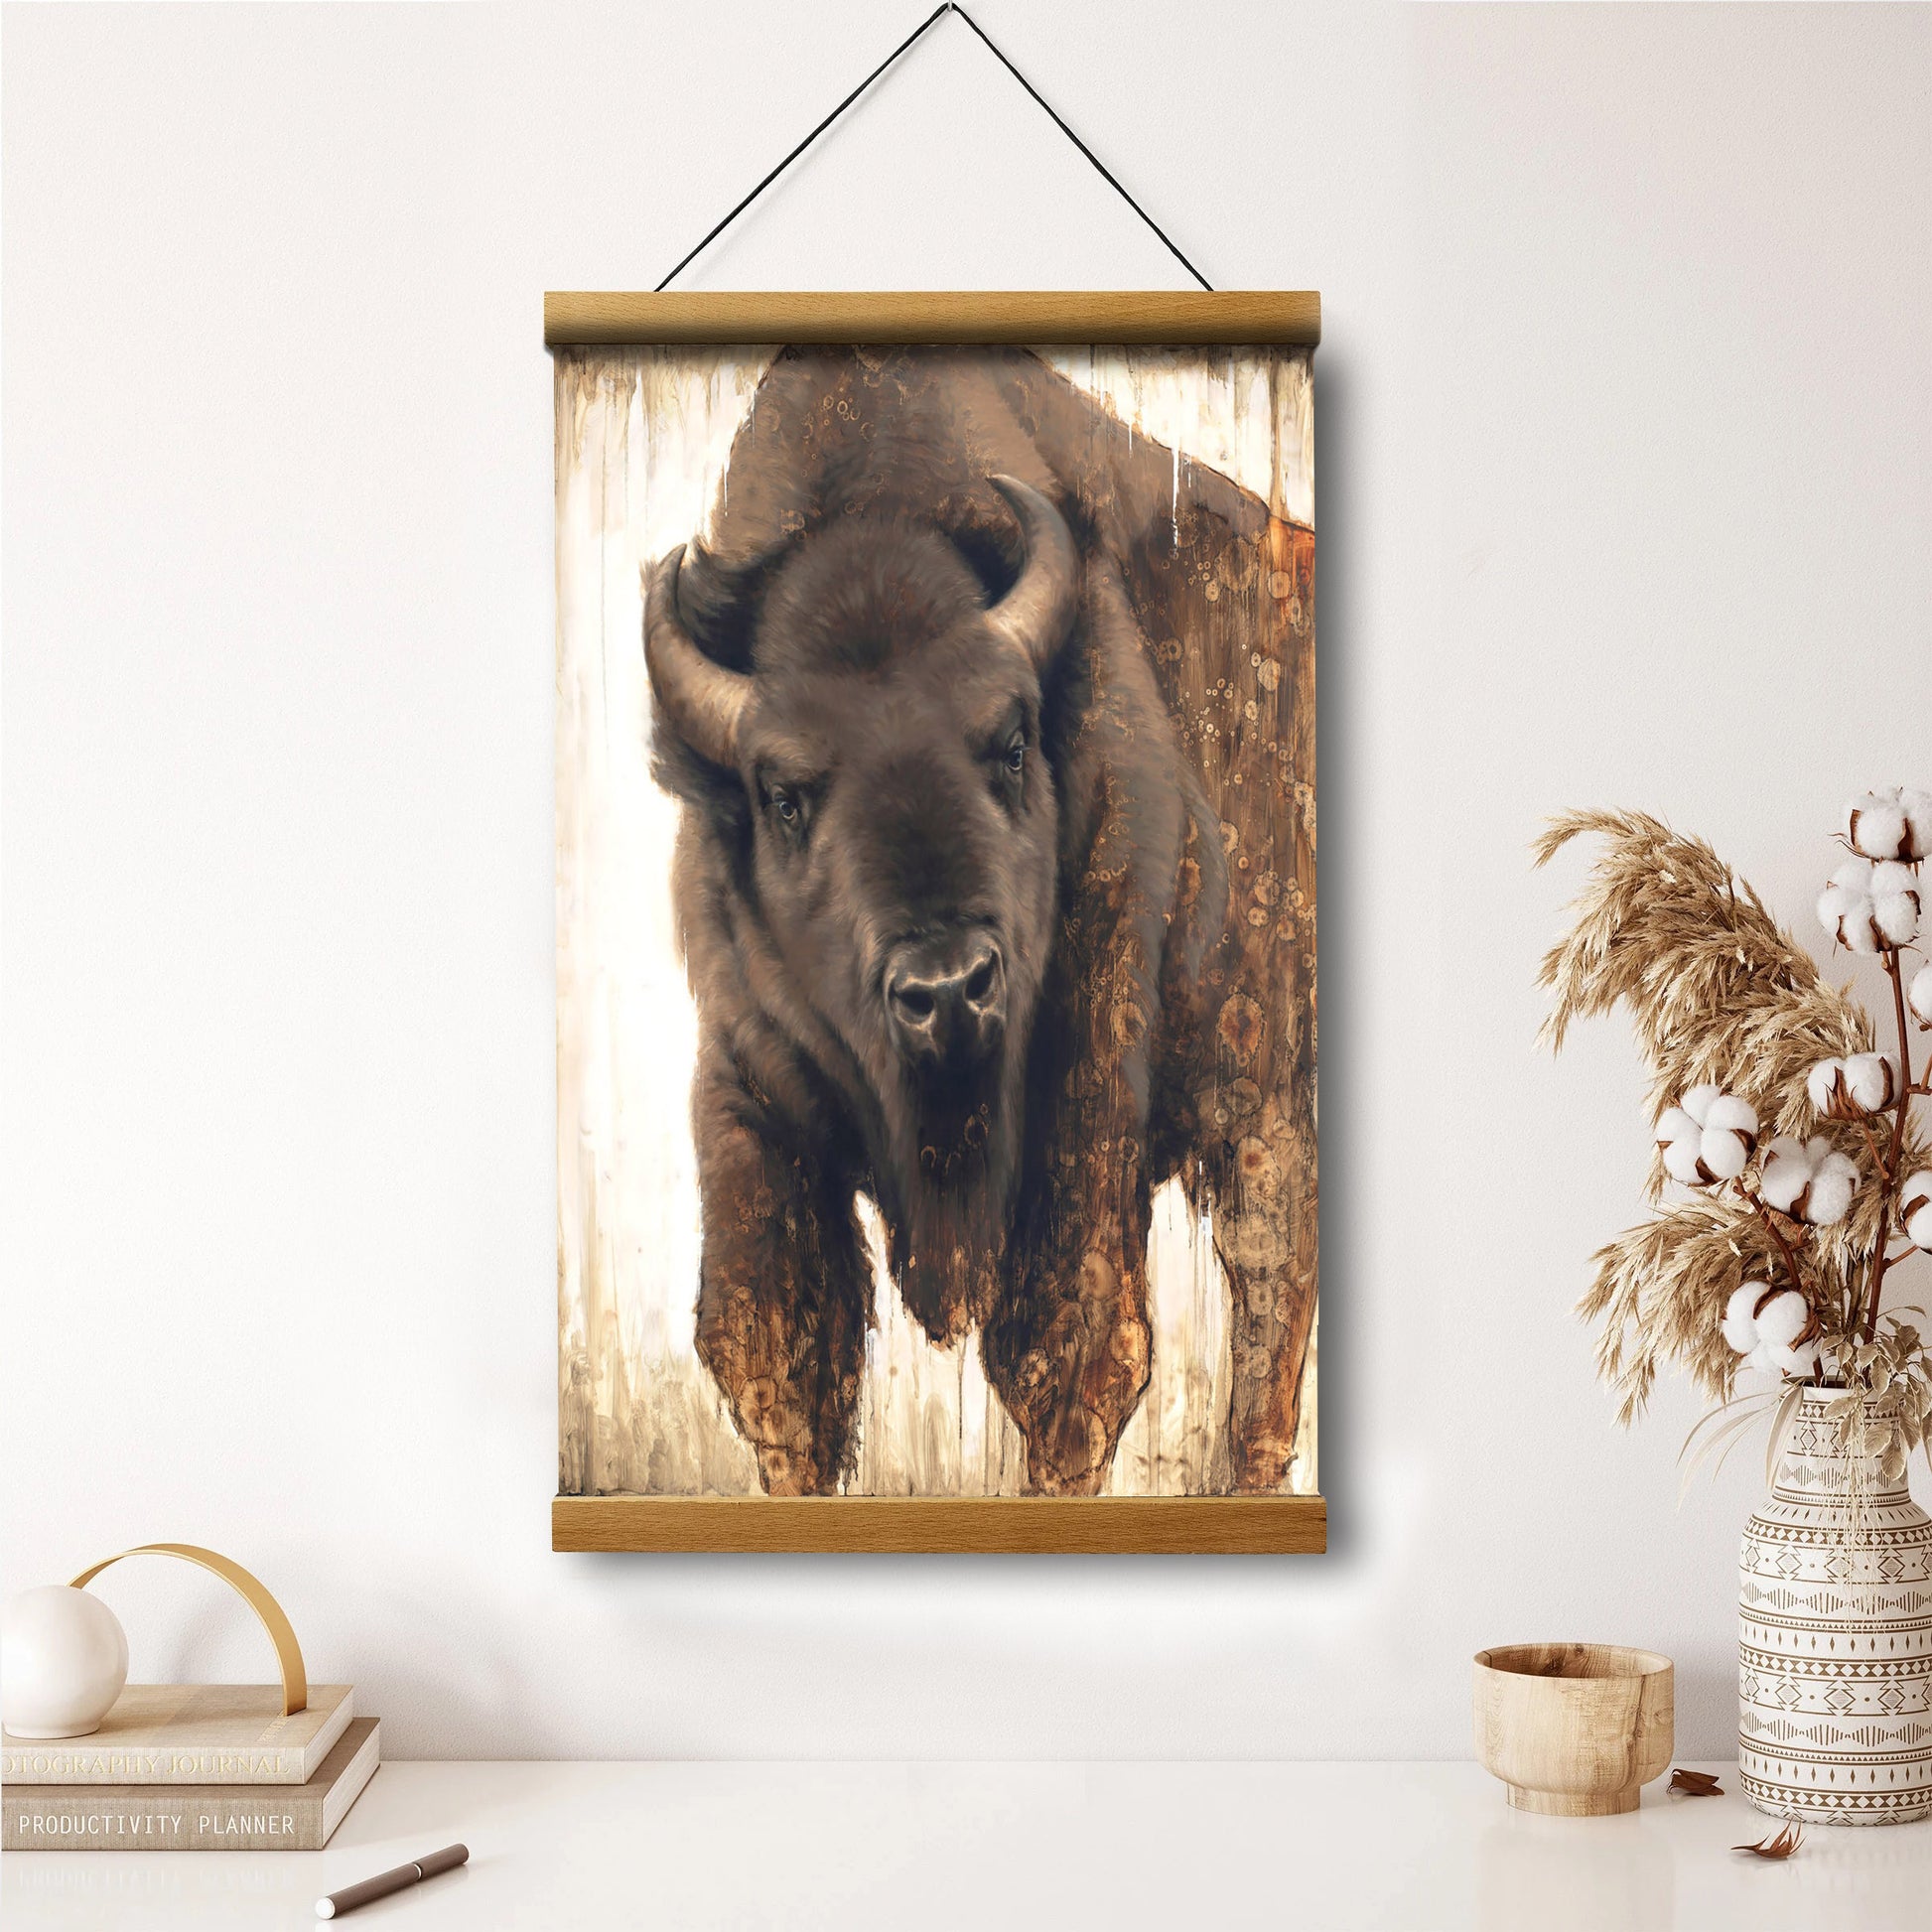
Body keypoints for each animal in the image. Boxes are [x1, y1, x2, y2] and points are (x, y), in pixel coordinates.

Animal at [644, 346, 1316, 1496]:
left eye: (1009, 742)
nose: (948, 988)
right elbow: (776, 1354)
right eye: (783, 795)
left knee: (1267, 1274)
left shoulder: (1084, 1087)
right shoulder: (749, 1074)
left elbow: (1072, 1351)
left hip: (1261, 1092)